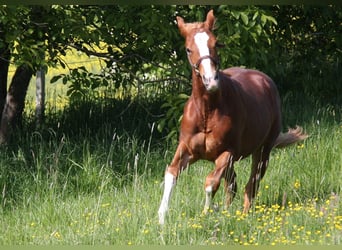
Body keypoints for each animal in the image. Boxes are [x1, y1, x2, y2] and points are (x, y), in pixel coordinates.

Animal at [158, 9, 308, 225]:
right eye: (188, 49)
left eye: (215, 43)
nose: (210, 80)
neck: (207, 112)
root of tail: (263, 78)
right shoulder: (187, 150)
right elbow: (171, 173)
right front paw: (161, 219)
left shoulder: (228, 153)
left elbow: (211, 183)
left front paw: (207, 213)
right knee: (233, 185)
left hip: (263, 151)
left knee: (251, 184)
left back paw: (243, 215)